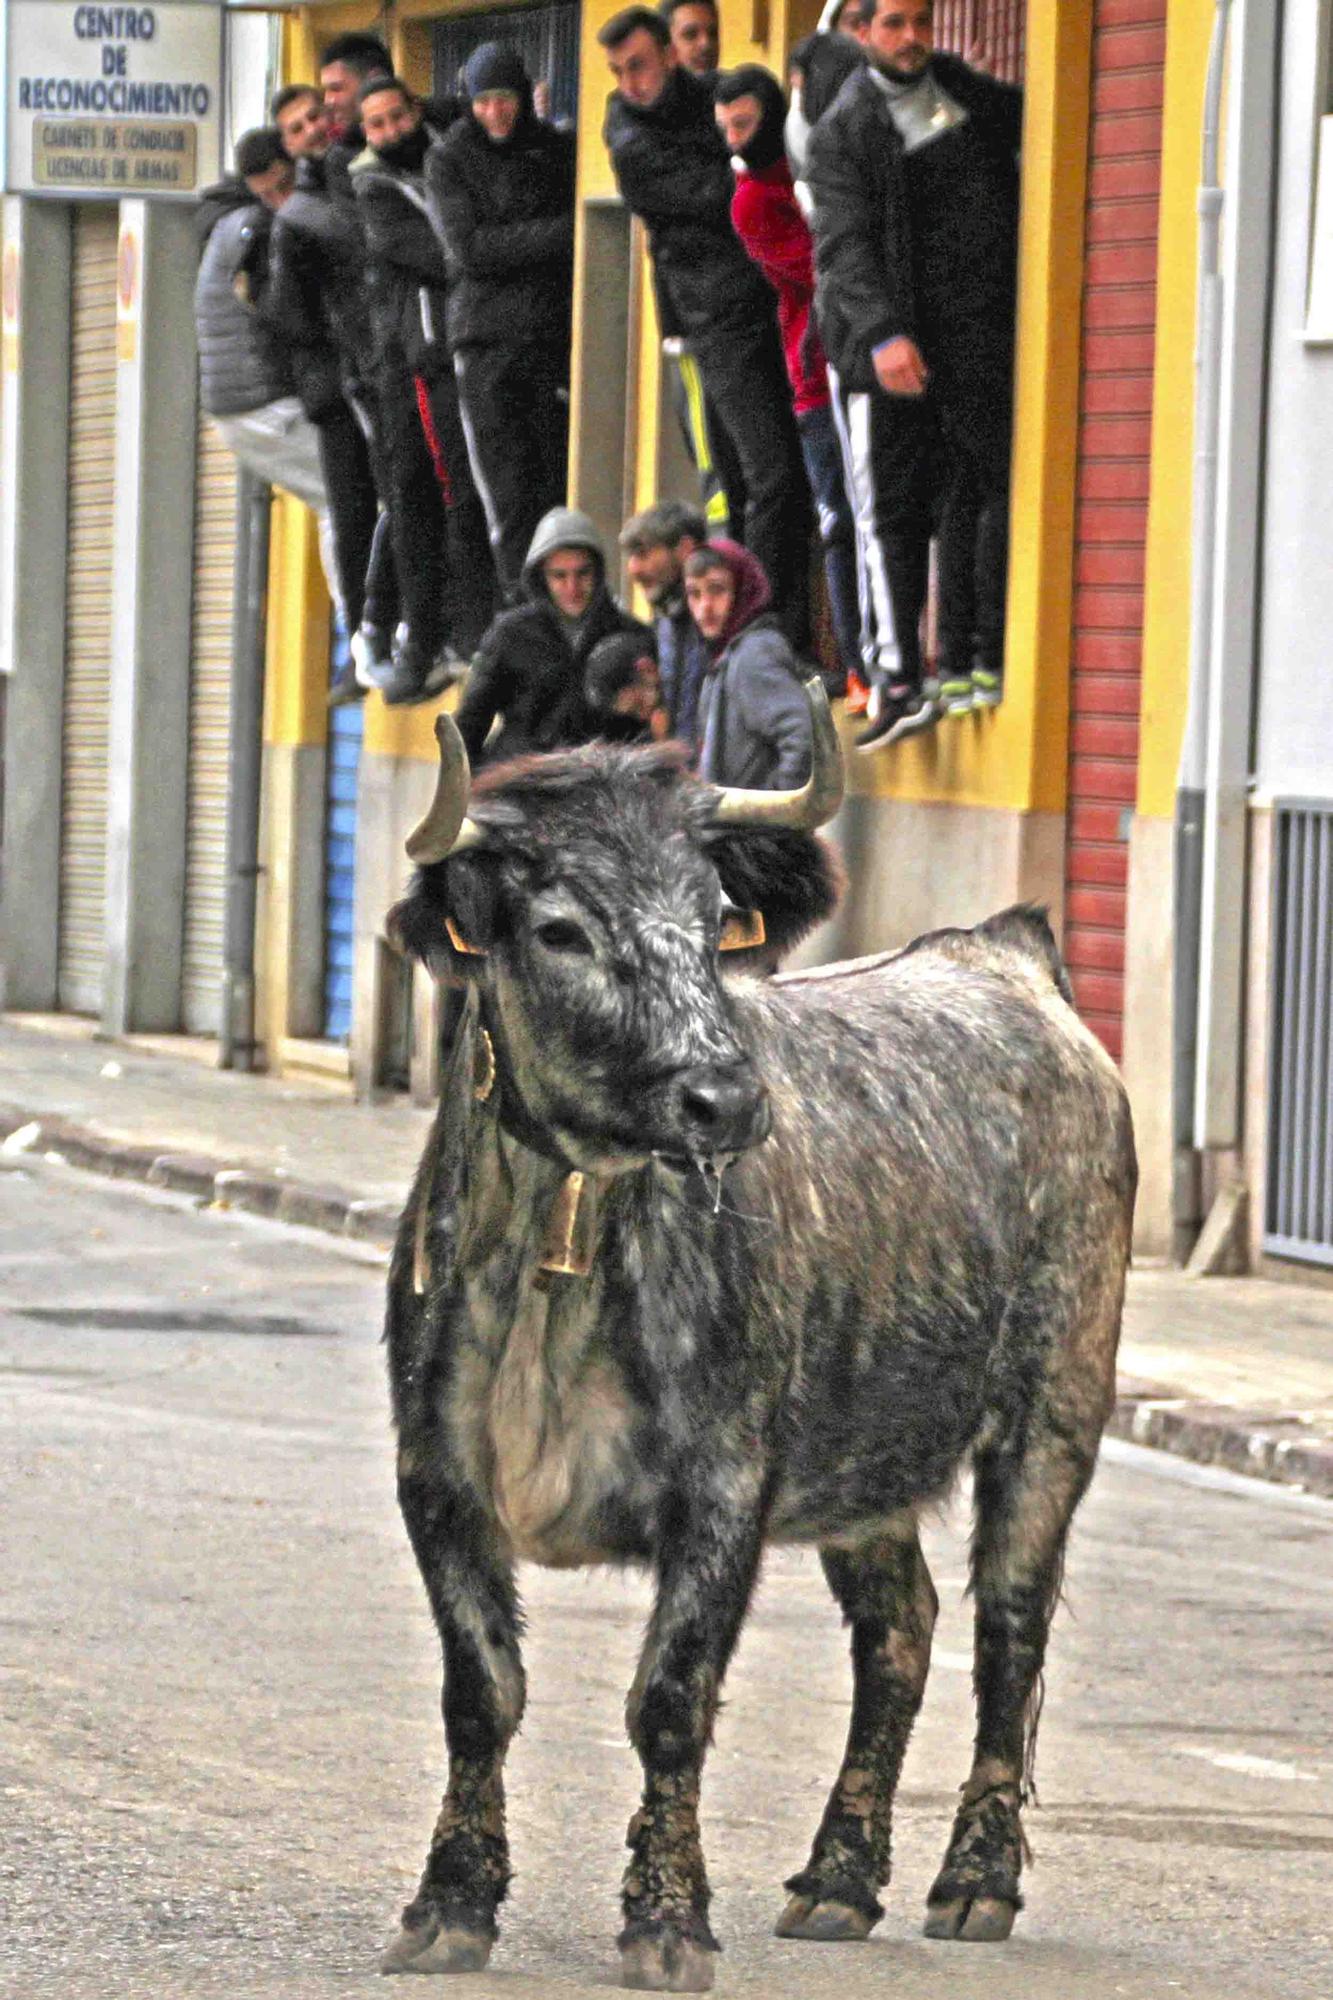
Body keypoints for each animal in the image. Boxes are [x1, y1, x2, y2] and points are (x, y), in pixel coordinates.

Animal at [376, 684, 1128, 1984]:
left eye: (713, 916)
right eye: (561, 928)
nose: (724, 1098)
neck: (559, 1249)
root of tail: (1002, 958)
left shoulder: (723, 1488)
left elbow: (669, 1700)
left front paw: (668, 1919)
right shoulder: (438, 1475)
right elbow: (482, 1689)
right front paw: (451, 1901)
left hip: (1051, 1417)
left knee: (1006, 1631)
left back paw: (973, 1881)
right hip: (866, 1464)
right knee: (900, 1634)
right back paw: (836, 1878)